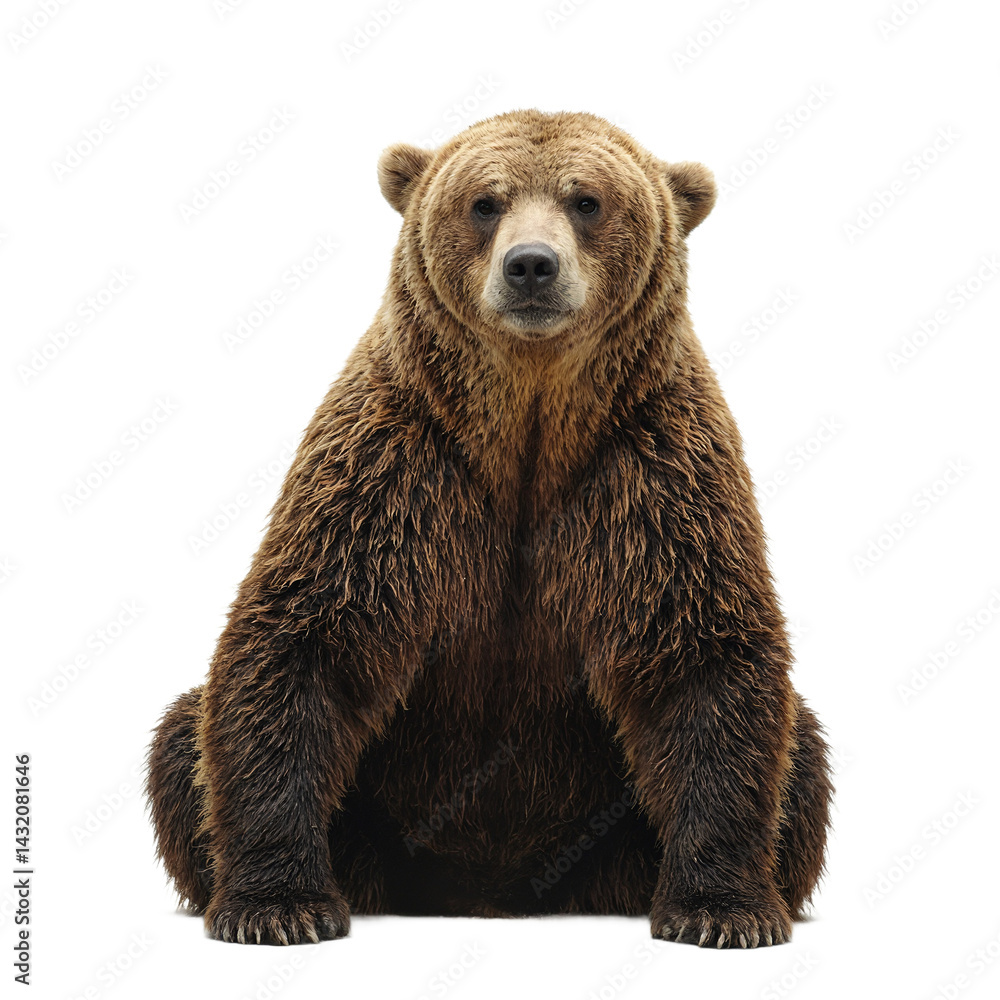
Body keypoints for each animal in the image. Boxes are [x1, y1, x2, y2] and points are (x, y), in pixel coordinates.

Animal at [146, 109, 832, 949]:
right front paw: (279, 905)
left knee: (804, 755)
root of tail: (491, 889)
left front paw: (722, 911)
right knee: (181, 738)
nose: (531, 266)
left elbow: (700, 656)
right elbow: (307, 639)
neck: (527, 428)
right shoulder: (396, 470)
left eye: (586, 200)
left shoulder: (651, 474)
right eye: (484, 202)